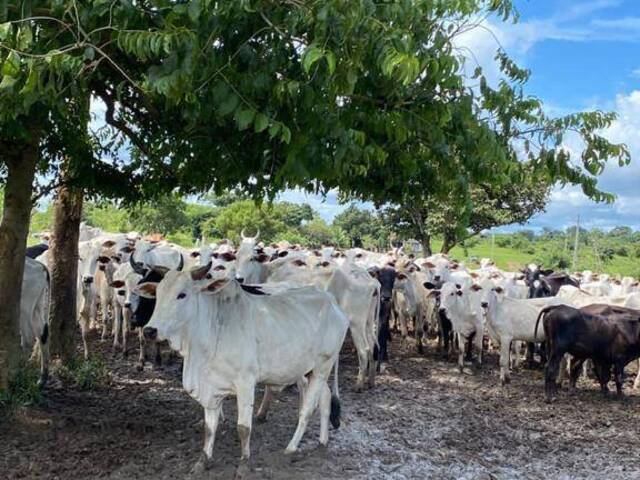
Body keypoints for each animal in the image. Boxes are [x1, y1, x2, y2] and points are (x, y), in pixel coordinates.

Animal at [142, 272, 348, 470]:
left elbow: (243, 428)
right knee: (325, 397)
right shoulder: (211, 386)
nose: (149, 330)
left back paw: (291, 447)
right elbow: (209, 428)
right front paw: (203, 461)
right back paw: (323, 441)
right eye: (157, 294)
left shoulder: (245, 383)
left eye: (182, 294)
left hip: (323, 366)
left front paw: (244, 463)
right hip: (309, 370)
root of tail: (333, 303)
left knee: (307, 409)